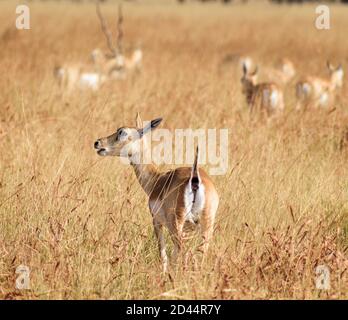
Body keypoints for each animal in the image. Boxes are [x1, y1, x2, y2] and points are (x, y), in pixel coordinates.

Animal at [94, 114, 220, 272]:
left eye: (122, 132)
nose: (98, 143)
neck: (157, 180)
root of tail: (195, 179)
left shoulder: (156, 222)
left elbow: (163, 254)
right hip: (206, 226)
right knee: (200, 253)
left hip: (176, 225)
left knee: (181, 253)